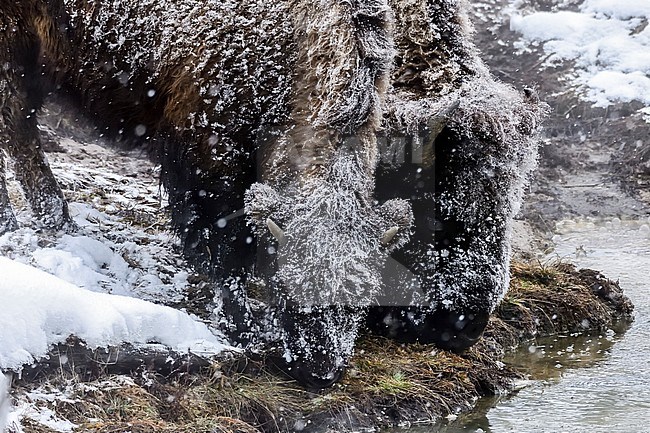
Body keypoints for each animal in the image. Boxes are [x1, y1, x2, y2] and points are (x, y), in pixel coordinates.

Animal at [0, 0, 544, 388]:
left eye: (512, 203)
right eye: (441, 208)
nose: (465, 325)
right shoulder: (208, 148)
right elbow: (224, 239)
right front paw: (245, 322)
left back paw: (55, 221)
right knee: (17, 125)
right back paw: (32, 221)